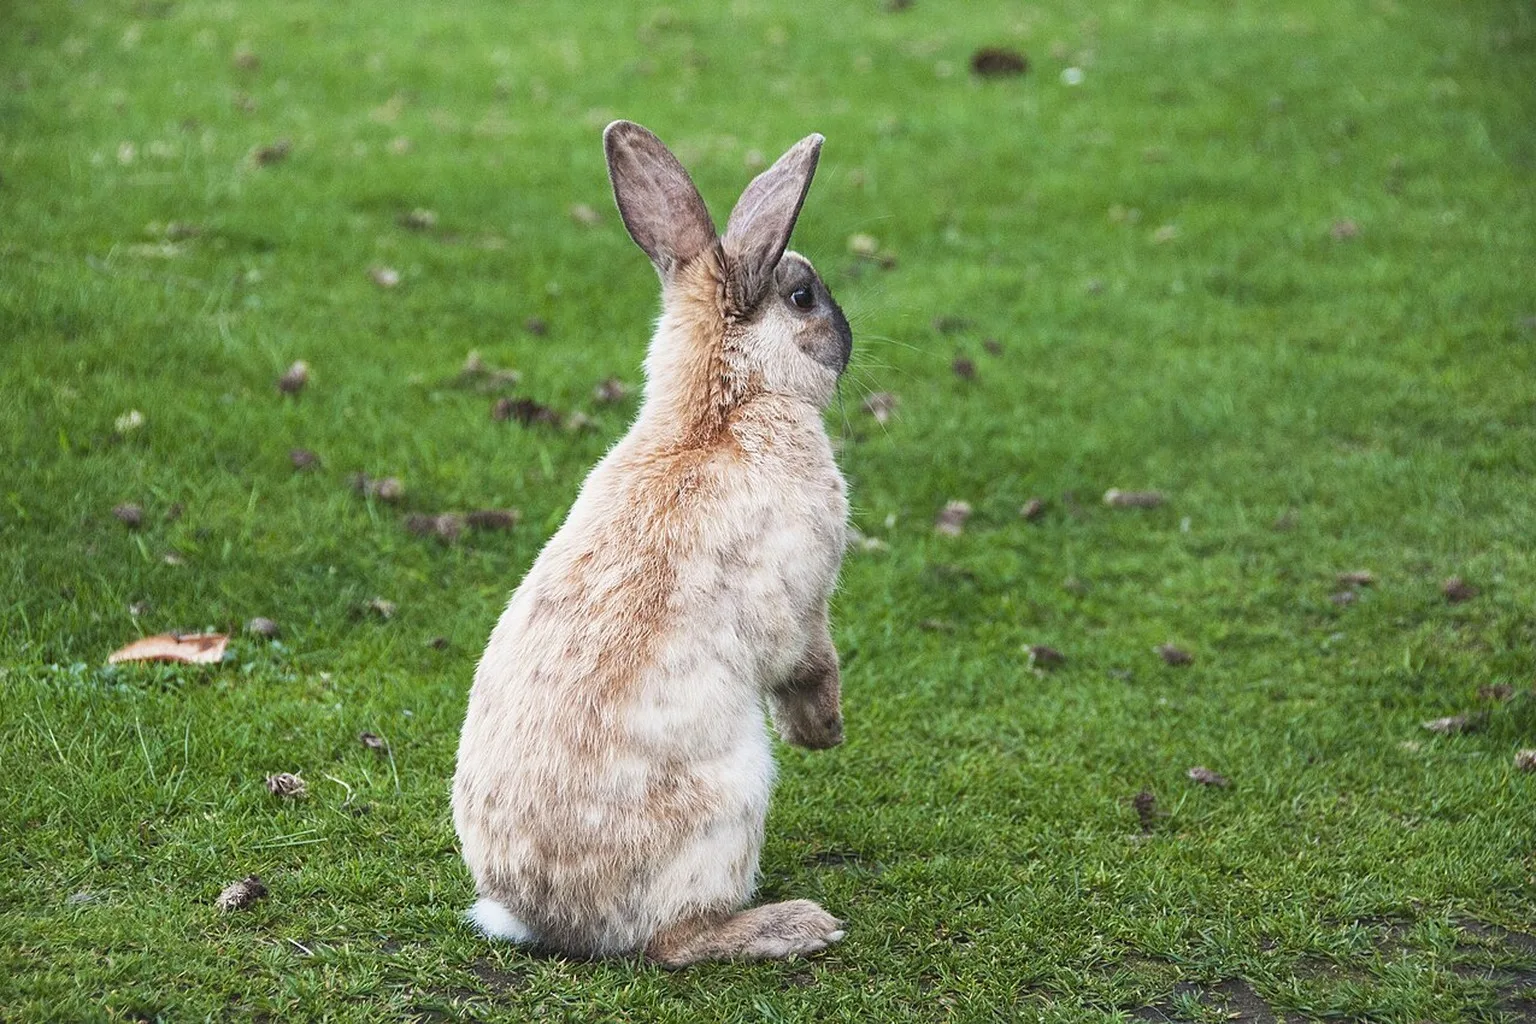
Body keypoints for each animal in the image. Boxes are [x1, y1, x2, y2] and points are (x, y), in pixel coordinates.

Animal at [451, 120, 854, 966]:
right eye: (803, 297)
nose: (848, 337)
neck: (722, 407)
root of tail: (547, 917)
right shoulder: (804, 604)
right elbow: (808, 664)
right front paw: (824, 733)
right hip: (730, 800)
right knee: (675, 941)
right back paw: (798, 925)